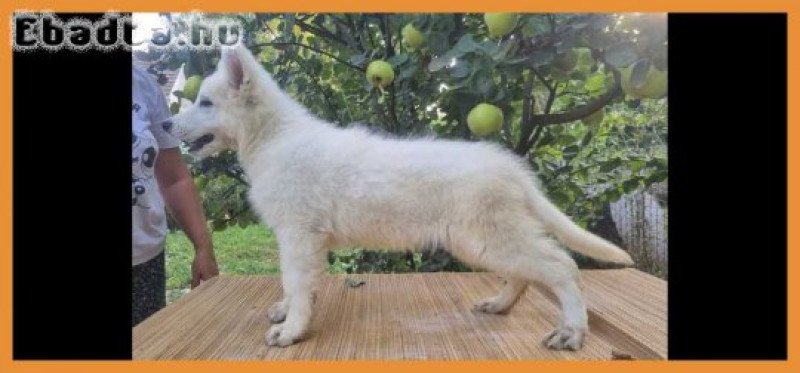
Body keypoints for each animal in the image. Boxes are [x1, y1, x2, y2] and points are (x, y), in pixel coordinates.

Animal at [166, 45, 636, 350]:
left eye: (206, 103)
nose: (166, 126)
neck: (272, 139)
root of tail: (512, 169)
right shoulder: (298, 238)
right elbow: (293, 284)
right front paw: (285, 311)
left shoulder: (298, 234)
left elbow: (296, 282)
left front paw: (291, 330)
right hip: (486, 239)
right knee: (525, 273)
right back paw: (501, 304)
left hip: (486, 236)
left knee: (561, 266)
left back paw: (572, 331)